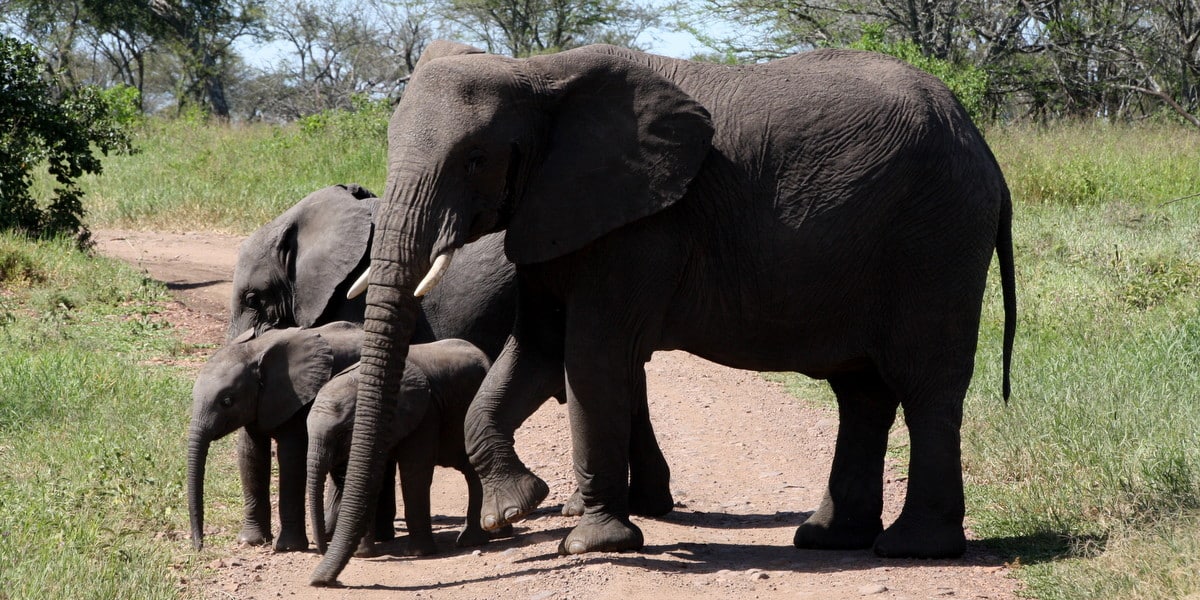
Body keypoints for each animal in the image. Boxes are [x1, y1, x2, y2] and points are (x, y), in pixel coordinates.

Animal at [184, 321, 362, 549]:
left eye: (227, 401)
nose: (199, 546)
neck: (254, 351)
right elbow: (250, 455)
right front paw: (251, 541)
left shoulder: (295, 399)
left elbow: (291, 459)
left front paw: (288, 547)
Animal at [304, 340, 506, 554]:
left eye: (341, 433)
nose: (322, 550)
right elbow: (372, 476)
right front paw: (362, 554)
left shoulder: (426, 414)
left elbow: (414, 473)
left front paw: (420, 553)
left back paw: (471, 541)